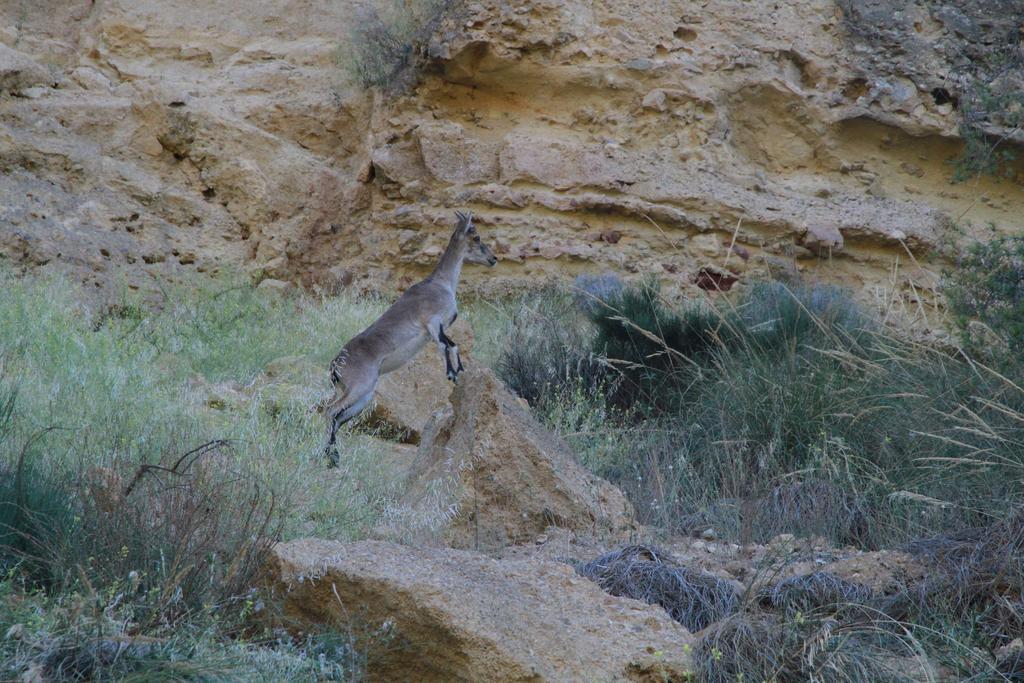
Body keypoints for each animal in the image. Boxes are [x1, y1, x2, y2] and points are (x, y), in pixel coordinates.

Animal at [321, 209, 493, 464]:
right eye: (477, 237)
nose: (493, 259)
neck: (442, 284)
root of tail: (335, 365)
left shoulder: (436, 329)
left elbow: (453, 345)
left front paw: (460, 372)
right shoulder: (432, 323)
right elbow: (447, 346)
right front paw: (452, 374)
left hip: (362, 395)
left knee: (339, 418)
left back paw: (333, 457)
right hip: (359, 386)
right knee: (330, 411)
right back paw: (328, 456)